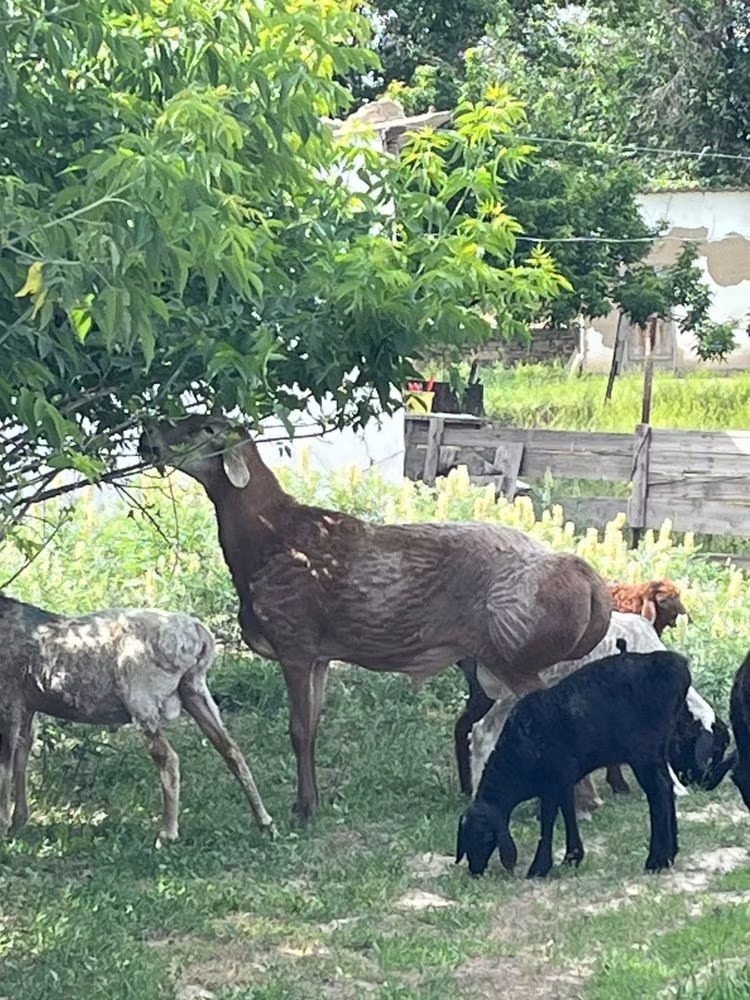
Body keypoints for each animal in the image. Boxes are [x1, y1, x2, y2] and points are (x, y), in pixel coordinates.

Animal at [0, 595, 275, 843]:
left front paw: (5, 825)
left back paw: (167, 834)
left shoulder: (8, 698)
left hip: (142, 699)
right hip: (195, 690)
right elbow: (21, 757)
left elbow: (6, 763)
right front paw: (19, 821)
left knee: (168, 759)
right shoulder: (26, 704)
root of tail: (196, 634)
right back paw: (265, 821)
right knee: (231, 750)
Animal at [139, 414, 613, 823]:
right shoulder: (320, 655)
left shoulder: (294, 638)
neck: (266, 541)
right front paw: (312, 800)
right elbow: (312, 728)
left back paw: (582, 800)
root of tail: (587, 581)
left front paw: (303, 810)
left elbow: (297, 729)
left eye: (202, 428)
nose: (147, 437)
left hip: (512, 652)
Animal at [456, 644, 691, 878]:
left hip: (643, 750)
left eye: (486, 837)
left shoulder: (551, 780)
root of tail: (678, 666)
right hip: (658, 748)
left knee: (658, 791)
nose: (475, 869)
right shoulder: (563, 779)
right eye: (465, 838)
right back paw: (671, 853)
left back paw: (657, 860)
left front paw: (540, 866)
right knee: (666, 787)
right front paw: (572, 856)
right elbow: (568, 810)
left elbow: (549, 818)